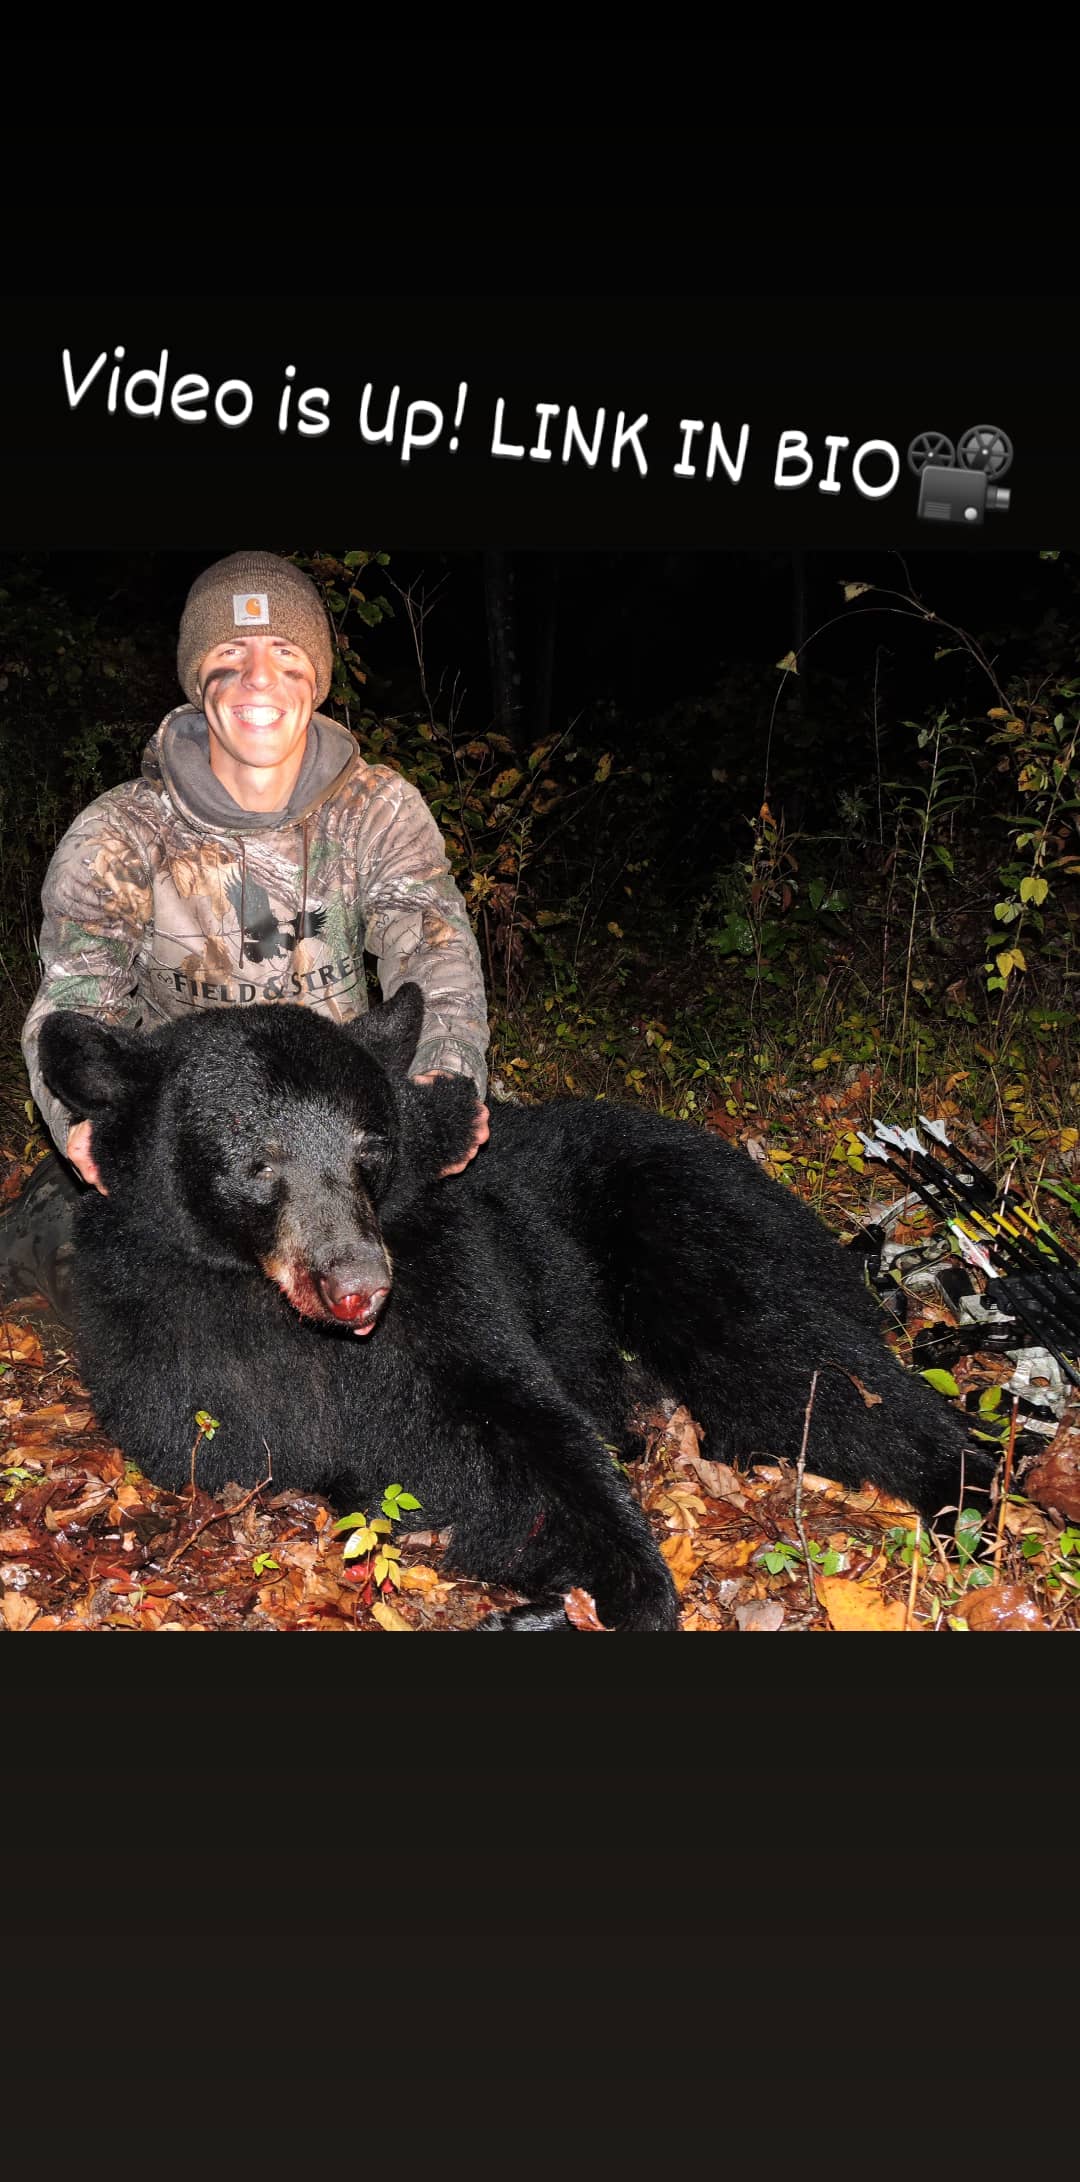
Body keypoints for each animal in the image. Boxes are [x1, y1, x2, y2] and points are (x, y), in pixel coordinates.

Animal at [38, 984, 996, 1632]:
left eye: (369, 1147)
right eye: (257, 1161)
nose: (358, 1284)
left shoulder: (448, 1285)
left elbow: (513, 1427)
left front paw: (603, 1592)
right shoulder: (165, 1326)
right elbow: (230, 1435)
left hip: (687, 1222)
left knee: (793, 1360)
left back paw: (970, 1496)